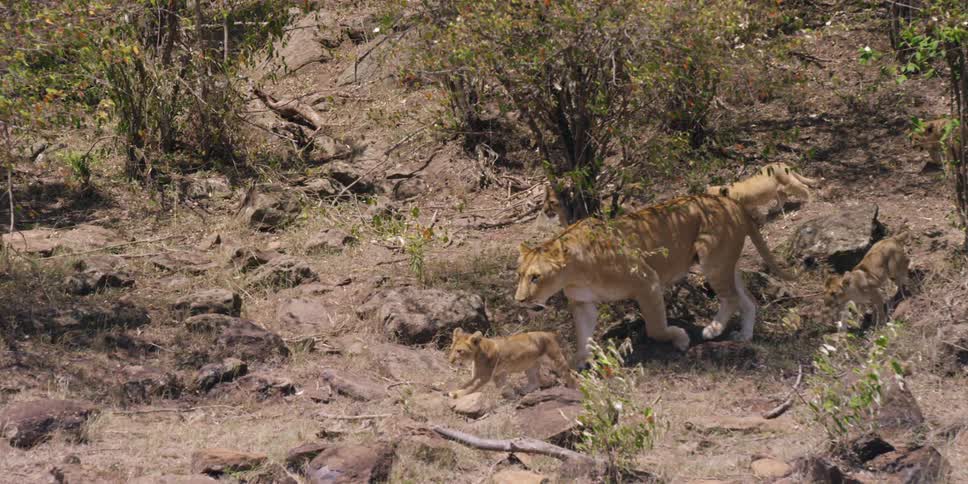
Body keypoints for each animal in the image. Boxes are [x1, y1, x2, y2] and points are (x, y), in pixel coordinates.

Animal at [447, 328, 576, 399]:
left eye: (459, 351)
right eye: (451, 349)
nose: (450, 361)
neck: (477, 355)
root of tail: (549, 333)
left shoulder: (484, 377)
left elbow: (471, 388)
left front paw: (457, 395)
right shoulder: (491, 374)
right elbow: (466, 384)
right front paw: (510, 395)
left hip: (555, 360)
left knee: (569, 373)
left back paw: (572, 389)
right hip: (530, 366)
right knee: (535, 382)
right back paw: (523, 391)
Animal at [514, 194, 795, 368]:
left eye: (536, 277)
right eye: (520, 274)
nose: (520, 300)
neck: (574, 273)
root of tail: (730, 200)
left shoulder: (646, 280)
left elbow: (656, 328)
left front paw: (680, 338)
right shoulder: (583, 303)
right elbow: (583, 335)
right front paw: (578, 363)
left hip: (711, 259)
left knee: (732, 298)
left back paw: (712, 330)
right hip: (727, 264)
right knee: (748, 300)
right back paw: (744, 336)